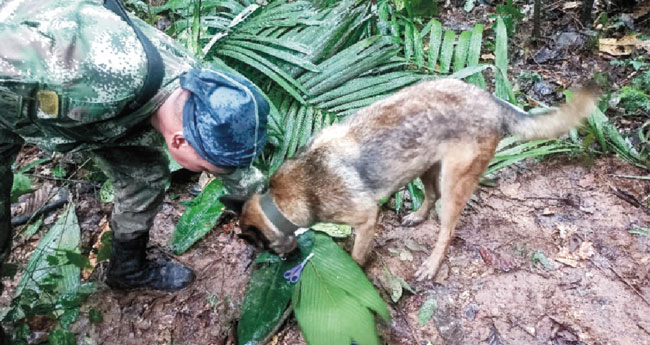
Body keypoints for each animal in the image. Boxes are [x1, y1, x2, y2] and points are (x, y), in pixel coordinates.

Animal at [239, 78, 596, 280]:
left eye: (263, 248)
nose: (287, 260)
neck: (284, 199)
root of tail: (491, 100)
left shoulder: (366, 219)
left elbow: (356, 256)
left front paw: (353, 273)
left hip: (454, 183)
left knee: (447, 228)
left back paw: (432, 265)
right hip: (425, 164)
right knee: (431, 195)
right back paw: (417, 216)